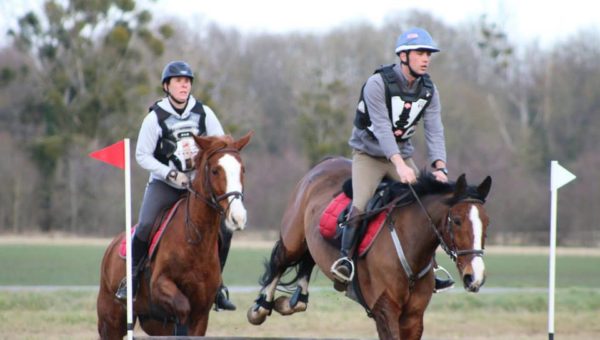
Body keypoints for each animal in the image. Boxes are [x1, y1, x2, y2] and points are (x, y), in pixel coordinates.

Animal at [97, 131, 252, 338]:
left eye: (242, 169)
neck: (194, 240)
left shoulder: (201, 312)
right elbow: (182, 308)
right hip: (111, 321)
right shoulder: (160, 286)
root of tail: (112, 246)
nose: (238, 217)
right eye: (215, 171)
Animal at [246, 157, 490, 340]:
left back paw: (292, 303)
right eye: (457, 221)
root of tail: (324, 163)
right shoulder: (385, 310)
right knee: (280, 261)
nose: (475, 277)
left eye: (487, 222)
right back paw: (260, 308)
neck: (411, 249)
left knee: (306, 262)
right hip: (294, 241)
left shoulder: (413, 316)